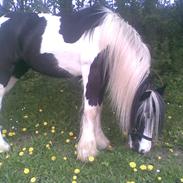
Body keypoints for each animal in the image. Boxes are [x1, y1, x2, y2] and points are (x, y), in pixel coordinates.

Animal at [0, 5, 166, 161]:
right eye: (145, 115)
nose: (143, 150)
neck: (107, 38)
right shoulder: (90, 75)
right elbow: (90, 111)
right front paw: (87, 152)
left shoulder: (101, 79)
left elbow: (98, 108)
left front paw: (101, 142)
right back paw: (4, 147)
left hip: (17, 70)